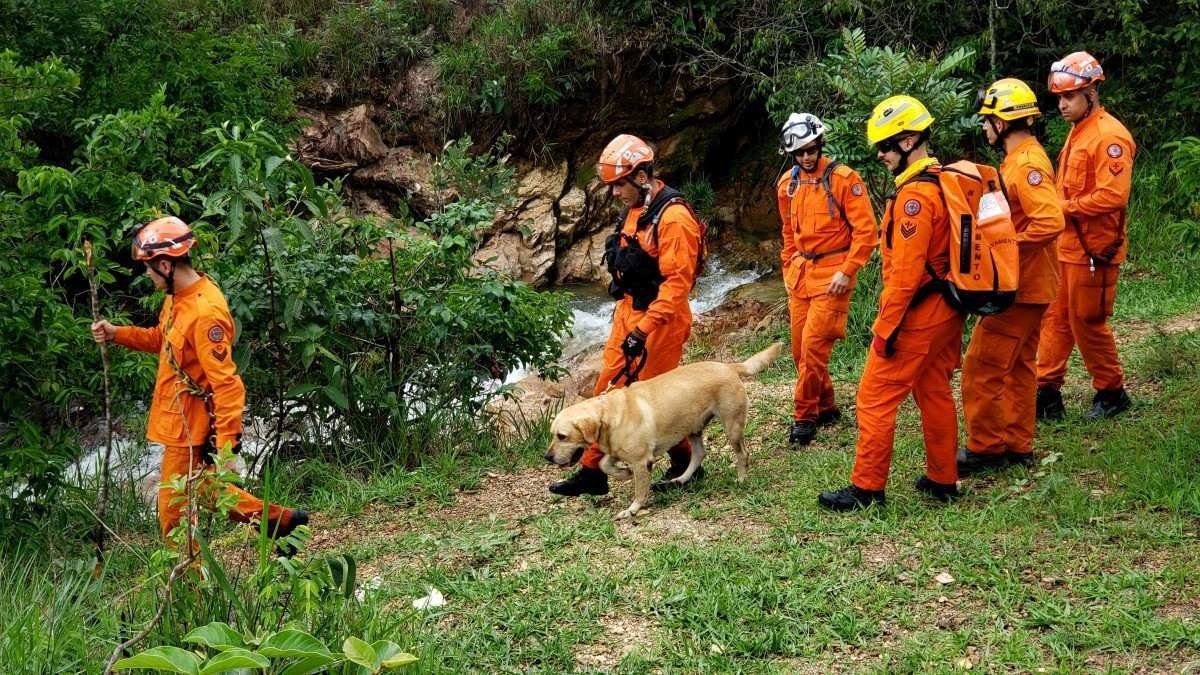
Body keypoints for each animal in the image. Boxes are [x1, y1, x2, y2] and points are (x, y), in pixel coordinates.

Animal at [547, 341, 787, 521]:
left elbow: (639, 491)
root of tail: (728, 367)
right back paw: (680, 479)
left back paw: (741, 479)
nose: (547, 457)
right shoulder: (617, 451)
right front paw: (623, 474)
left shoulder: (642, 461)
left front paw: (632, 510)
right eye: (552, 434)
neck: (608, 413)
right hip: (693, 428)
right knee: (699, 454)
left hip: (732, 426)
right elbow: (603, 464)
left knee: (742, 454)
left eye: (562, 436)